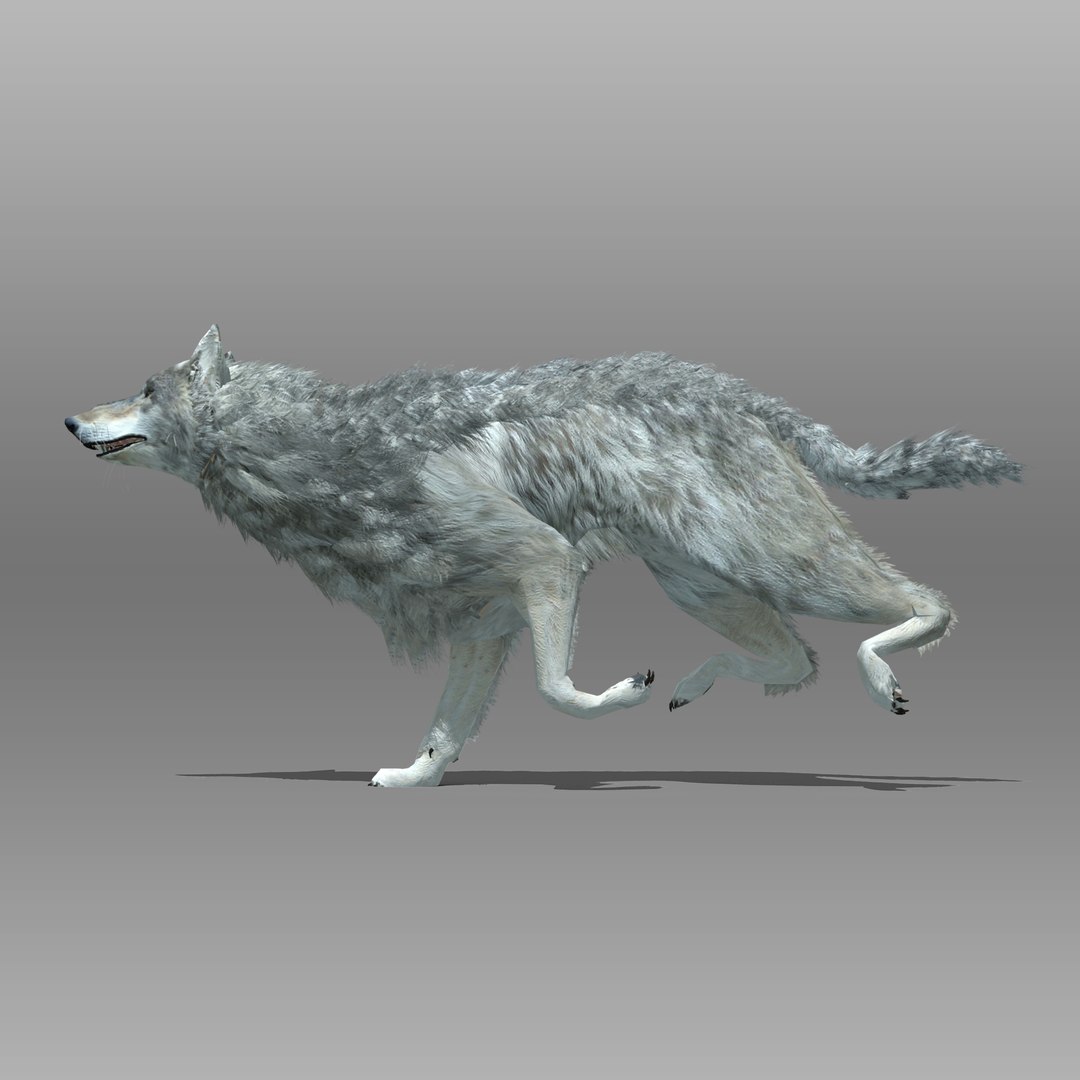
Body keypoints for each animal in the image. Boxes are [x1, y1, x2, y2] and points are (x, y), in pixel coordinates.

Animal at [65, 326, 1022, 786]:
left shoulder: (544, 561)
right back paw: (693, 685)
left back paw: (875, 671)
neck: (317, 445)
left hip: (782, 562)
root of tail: (742, 392)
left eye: (145, 390)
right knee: (795, 663)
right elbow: (447, 728)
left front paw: (619, 695)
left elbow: (557, 691)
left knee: (918, 608)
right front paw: (410, 781)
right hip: (703, 586)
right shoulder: (481, 618)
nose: (70, 419)